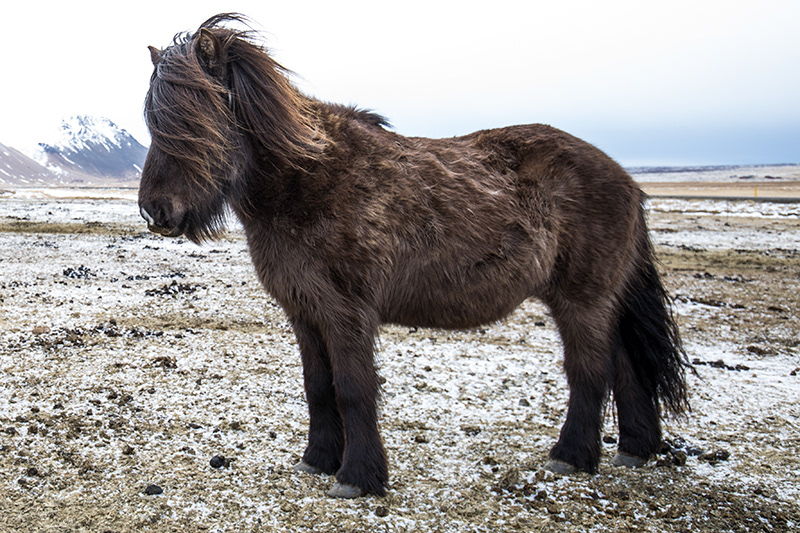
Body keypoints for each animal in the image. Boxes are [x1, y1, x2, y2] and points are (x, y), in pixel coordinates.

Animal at [138, 13, 689, 498]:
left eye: (195, 116)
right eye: (154, 120)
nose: (155, 210)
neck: (307, 178)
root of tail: (627, 180)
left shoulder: (346, 312)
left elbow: (353, 388)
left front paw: (357, 478)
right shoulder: (304, 310)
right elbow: (318, 386)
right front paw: (318, 461)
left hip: (582, 298)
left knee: (590, 371)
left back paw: (572, 456)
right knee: (625, 364)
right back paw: (636, 449)